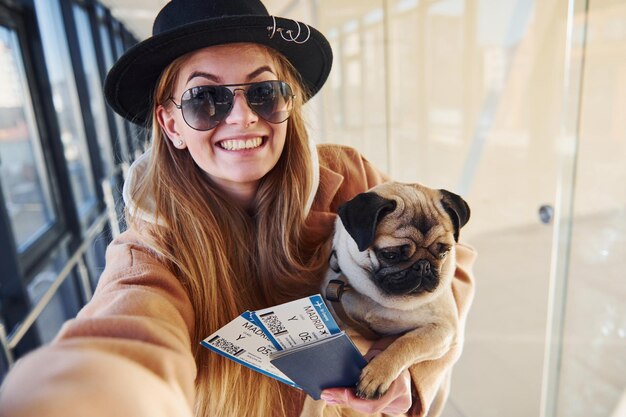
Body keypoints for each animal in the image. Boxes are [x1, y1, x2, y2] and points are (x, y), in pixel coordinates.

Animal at [322, 181, 468, 404]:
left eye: (443, 252)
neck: (381, 300)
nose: (423, 266)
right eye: (390, 255)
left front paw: (377, 374)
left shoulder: (443, 329)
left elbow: (407, 343)